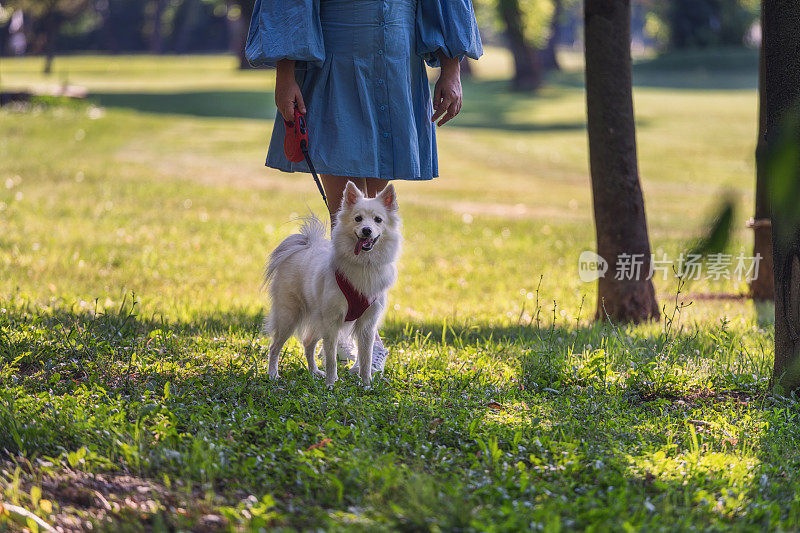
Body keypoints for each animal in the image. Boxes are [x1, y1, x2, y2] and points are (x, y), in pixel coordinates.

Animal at [262, 181, 400, 384]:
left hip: (318, 320)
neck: (364, 264)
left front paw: (366, 383)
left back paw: (313, 372)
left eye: (378, 220)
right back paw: (273, 374)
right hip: (290, 316)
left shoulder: (367, 325)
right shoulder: (332, 321)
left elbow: (366, 358)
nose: (367, 230)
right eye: (358, 219)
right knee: (275, 347)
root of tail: (305, 245)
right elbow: (331, 358)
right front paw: (331, 383)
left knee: (308, 343)